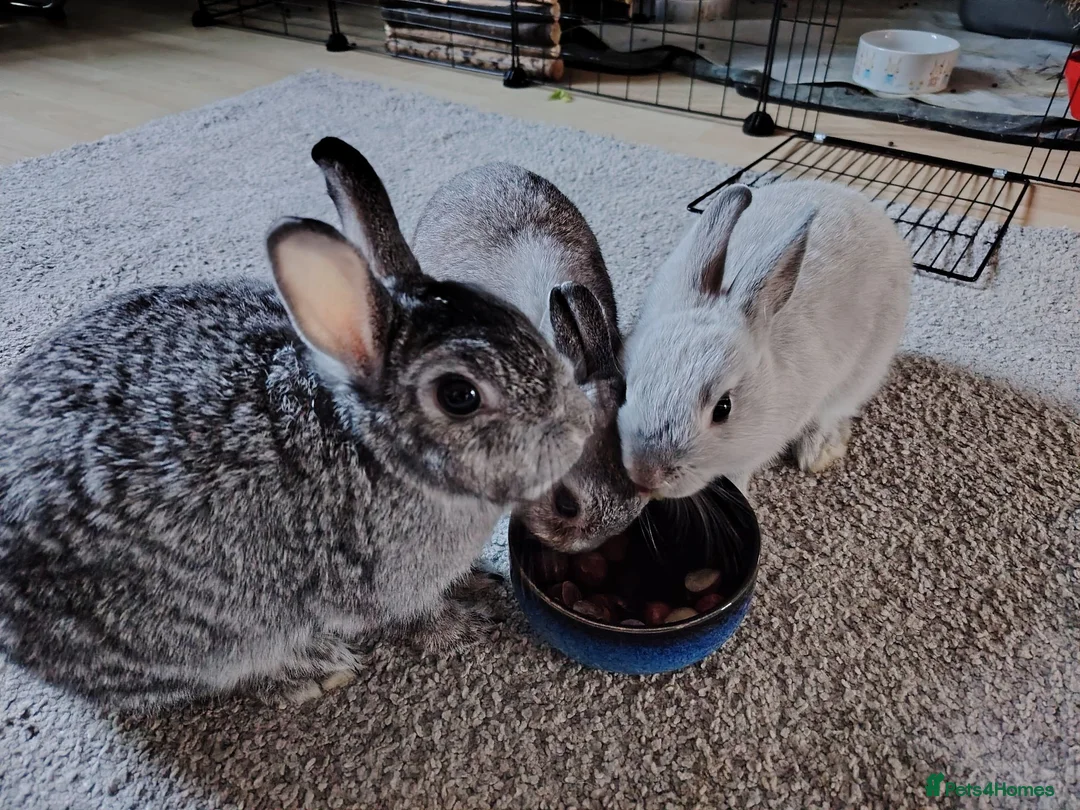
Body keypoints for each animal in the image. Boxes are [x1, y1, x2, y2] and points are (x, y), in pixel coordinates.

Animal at [0, 140, 592, 713]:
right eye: (459, 396)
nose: (577, 427)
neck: (373, 446)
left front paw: (482, 585)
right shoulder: (385, 581)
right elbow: (415, 614)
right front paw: (458, 623)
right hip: (195, 636)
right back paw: (310, 669)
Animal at [618, 180, 912, 501]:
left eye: (723, 409)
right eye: (626, 386)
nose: (646, 474)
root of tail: (858, 199)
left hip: (866, 369)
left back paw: (818, 451)